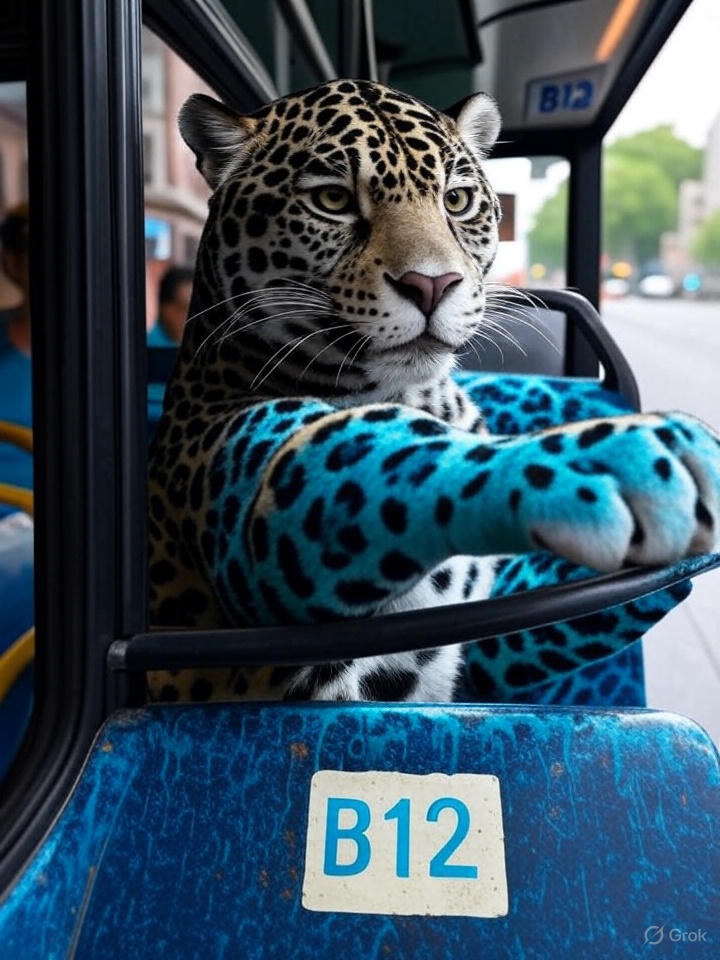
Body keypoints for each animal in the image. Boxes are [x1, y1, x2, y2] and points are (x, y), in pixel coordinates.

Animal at [147, 78, 720, 705]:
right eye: (332, 200)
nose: (432, 285)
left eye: (457, 200)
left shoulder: (487, 635)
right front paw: (628, 457)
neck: (422, 393)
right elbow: (380, 444)